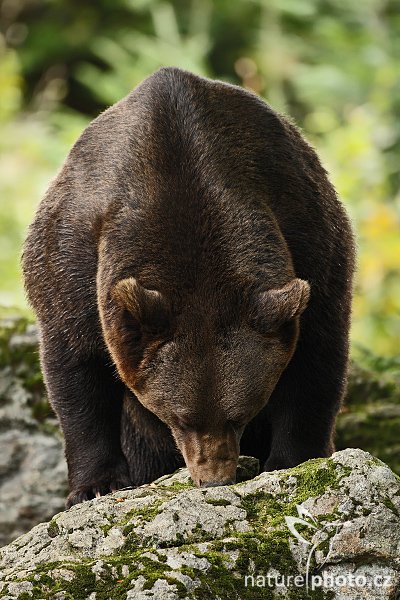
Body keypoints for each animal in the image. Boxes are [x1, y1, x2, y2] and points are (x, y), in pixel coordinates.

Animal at [21, 67, 354, 506]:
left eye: (240, 414)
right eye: (180, 418)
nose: (214, 479)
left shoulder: (306, 229)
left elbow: (316, 352)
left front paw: (294, 458)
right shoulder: (75, 252)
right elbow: (76, 364)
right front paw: (97, 484)